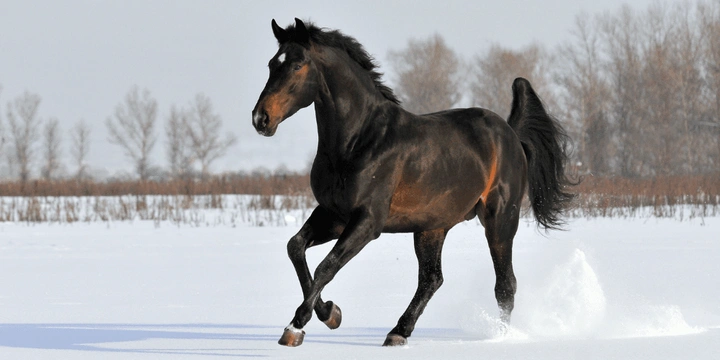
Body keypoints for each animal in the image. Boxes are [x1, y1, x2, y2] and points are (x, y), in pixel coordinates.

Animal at [252, 18, 572, 348]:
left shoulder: (367, 221)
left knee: (505, 284)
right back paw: (398, 332)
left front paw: (296, 328)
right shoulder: (333, 214)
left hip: (500, 218)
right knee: (432, 279)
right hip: (432, 227)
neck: (359, 141)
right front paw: (330, 313)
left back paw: (499, 338)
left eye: (297, 65)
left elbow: (326, 266)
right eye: (272, 64)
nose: (261, 119)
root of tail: (511, 134)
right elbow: (296, 248)